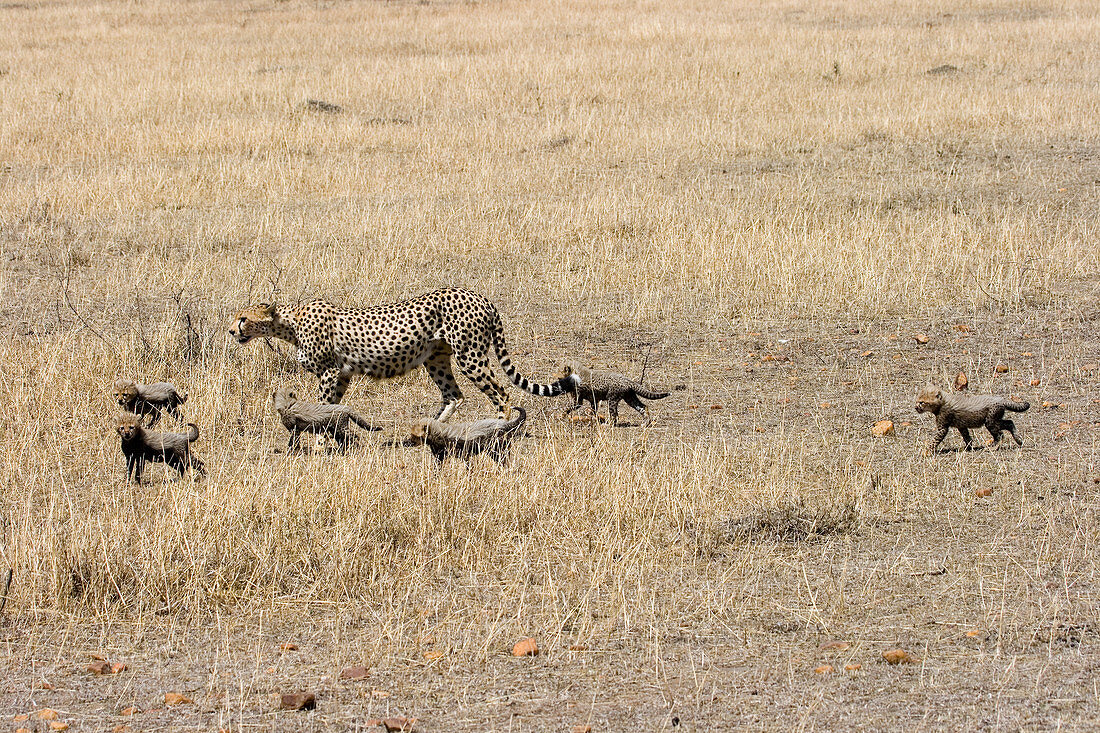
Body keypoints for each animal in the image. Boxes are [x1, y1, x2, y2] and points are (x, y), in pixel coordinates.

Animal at [228, 288, 563, 420]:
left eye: (243, 318)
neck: (289, 324)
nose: (231, 331)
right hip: (435, 358)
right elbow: (333, 407)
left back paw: (500, 429)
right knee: (454, 395)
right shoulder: (342, 374)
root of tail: (479, 295)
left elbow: (322, 406)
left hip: (470, 355)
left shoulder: (329, 372)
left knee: (500, 394)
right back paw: (433, 429)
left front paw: (320, 443)